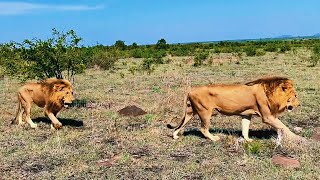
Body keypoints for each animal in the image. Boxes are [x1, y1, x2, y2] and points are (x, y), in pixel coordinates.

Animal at [169, 76, 302, 141]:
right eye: (295, 96)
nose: (299, 104)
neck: (270, 92)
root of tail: (190, 90)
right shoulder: (268, 117)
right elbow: (284, 127)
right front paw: (298, 138)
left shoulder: (246, 114)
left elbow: (245, 128)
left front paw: (248, 140)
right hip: (205, 112)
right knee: (203, 129)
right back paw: (214, 138)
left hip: (190, 112)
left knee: (181, 124)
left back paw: (175, 136)